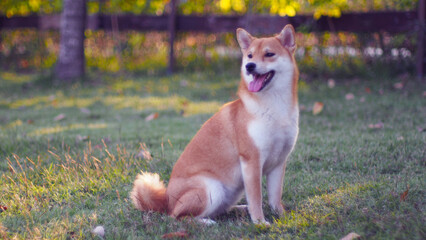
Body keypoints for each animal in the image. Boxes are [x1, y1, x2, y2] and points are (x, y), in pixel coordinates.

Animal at [131, 24, 300, 225]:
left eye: (269, 54)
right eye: (250, 56)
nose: (249, 66)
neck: (274, 109)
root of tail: (167, 202)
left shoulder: (279, 162)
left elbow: (275, 196)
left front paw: (282, 216)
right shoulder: (251, 161)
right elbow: (257, 198)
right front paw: (260, 222)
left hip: (230, 191)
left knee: (220, 210)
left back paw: (240, 209)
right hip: (211, 188)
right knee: (178, 216)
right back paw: (206, 222)